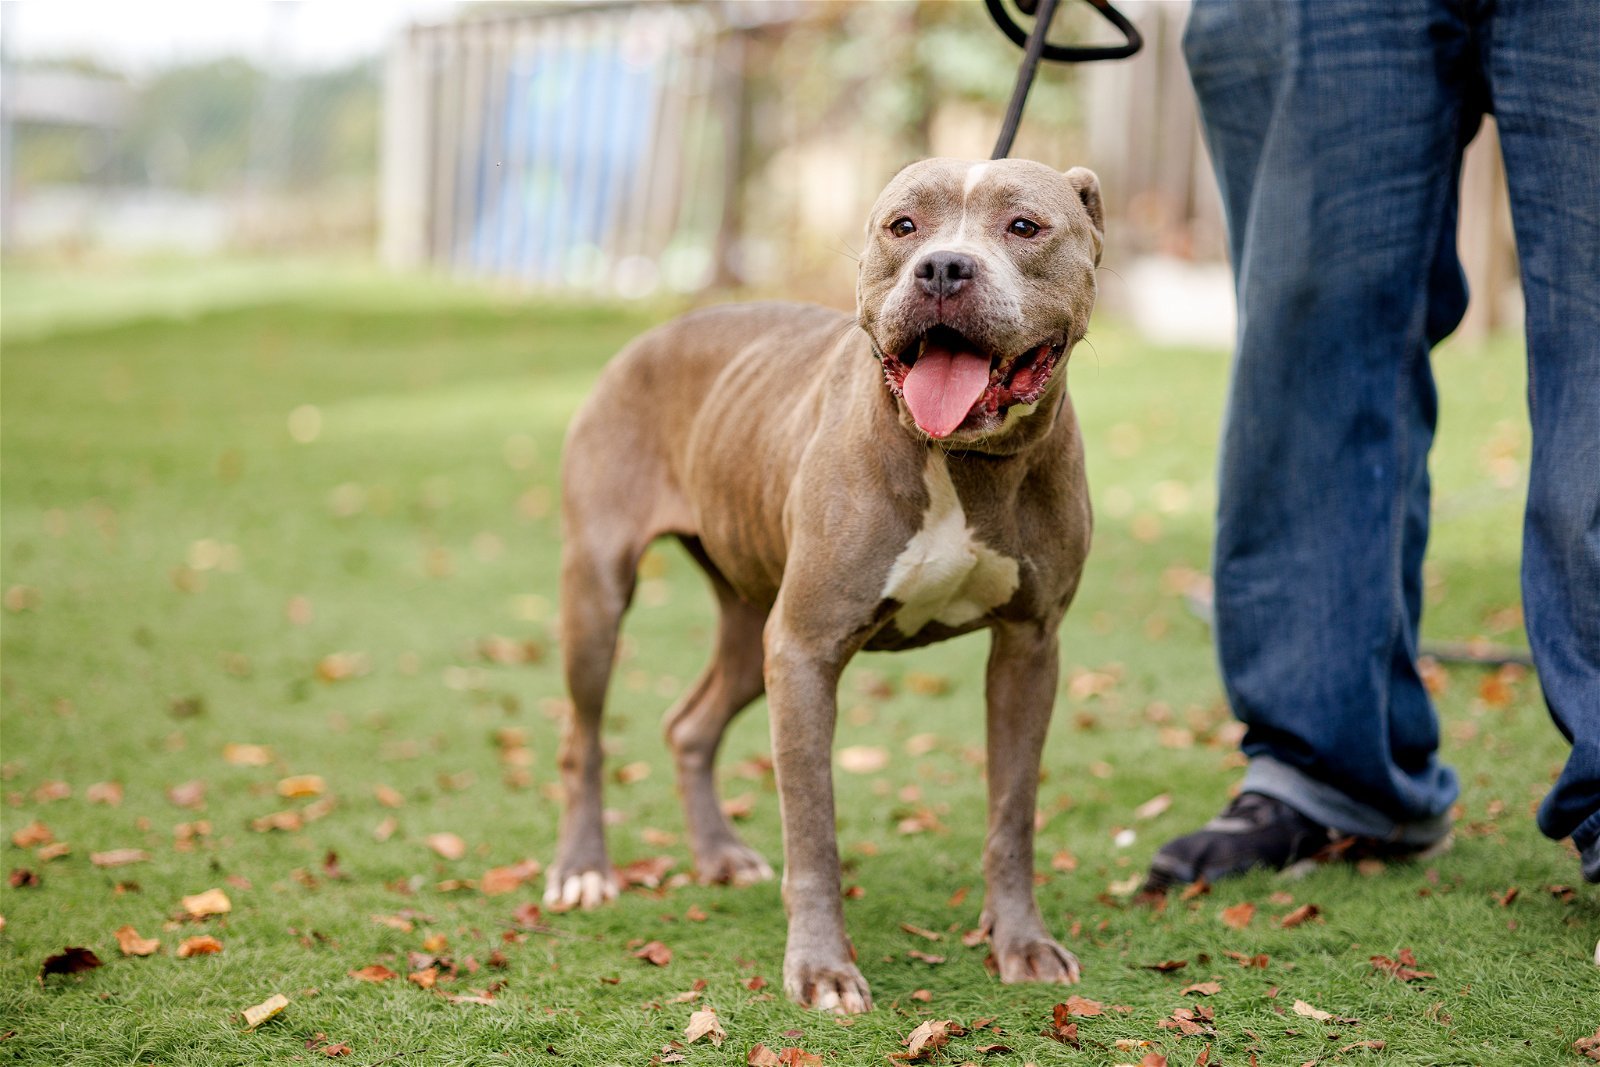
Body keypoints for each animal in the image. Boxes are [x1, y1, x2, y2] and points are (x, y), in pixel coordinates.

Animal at [547, 154, 1100, 1017]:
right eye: (903, 225)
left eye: (1025, 226)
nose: (944, 267)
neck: (960, 462)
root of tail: (656, 334)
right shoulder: (807, 651)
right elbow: (813, 829)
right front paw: (821, 968)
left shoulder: (1029, 648)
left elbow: (1013, 813)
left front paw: (1022, 942)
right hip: (601, 594)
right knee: (585, 737)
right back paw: (583, 869)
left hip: (752, 626)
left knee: (690, 724)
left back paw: (720, 854)